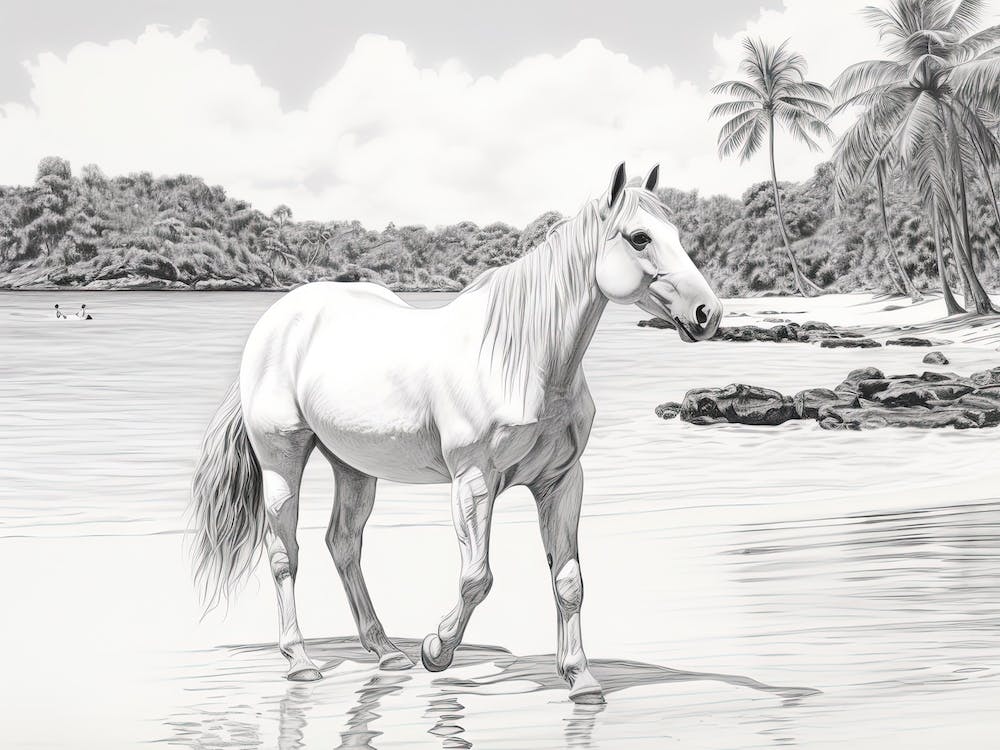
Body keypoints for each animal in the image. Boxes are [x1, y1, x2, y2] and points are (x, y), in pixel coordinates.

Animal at [190, 163, 722, 704]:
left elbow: (569, 582)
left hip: (354, 466)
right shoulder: (473, 481)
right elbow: (476, 578)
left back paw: (386, 652)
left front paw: (581, 679)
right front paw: (437, 649)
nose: (708, 314)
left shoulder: (562, 482)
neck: (520, 358)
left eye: (678, 235)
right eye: (640, 237)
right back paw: (300, 661)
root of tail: (277, 321)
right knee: (283, 554)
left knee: (343, 544)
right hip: (282, 457)